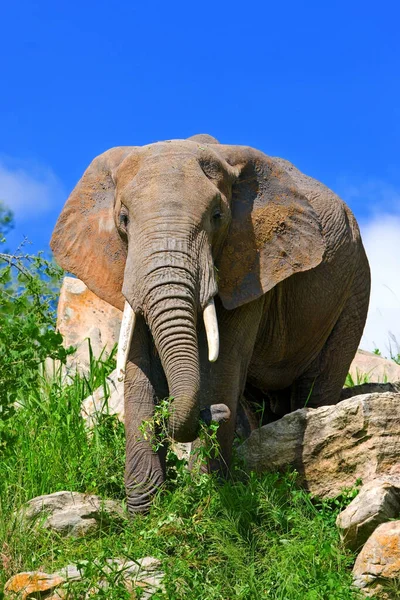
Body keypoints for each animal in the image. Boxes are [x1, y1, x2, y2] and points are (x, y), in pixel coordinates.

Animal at [50, 134, 372, 512]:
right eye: (124, 219)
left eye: (217, 217)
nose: (213, 413)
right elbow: (139, 364)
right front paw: (145, 510)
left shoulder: (252, 262)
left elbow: (224, 362)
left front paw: (202, 496)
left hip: (354, 289)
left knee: (317, 384)